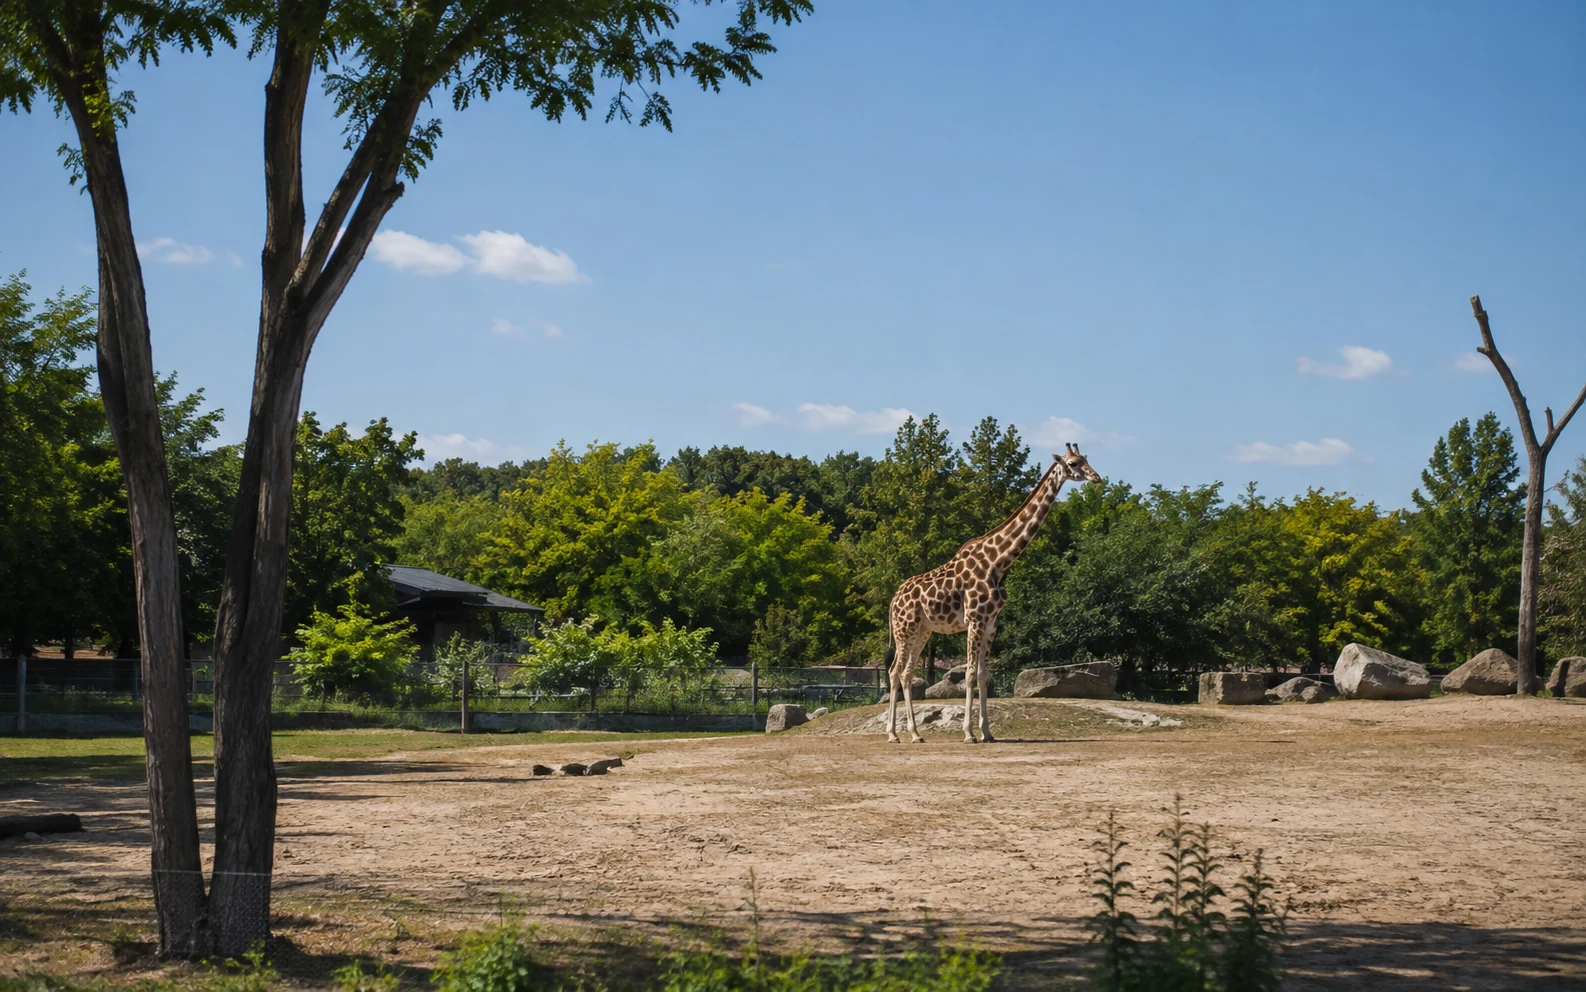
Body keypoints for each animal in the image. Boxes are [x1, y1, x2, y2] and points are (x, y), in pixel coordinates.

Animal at [885, 443, 1103, 744]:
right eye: (1073, 463)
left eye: (1086, 459)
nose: (1096, 477)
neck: (998, 562)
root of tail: (894, 599)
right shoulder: (975, 620)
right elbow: (970, 675)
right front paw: (968, 733)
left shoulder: (991, 624)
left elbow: (984, 676)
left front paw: (987, 732)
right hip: (904, 629)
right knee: (895, 671)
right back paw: (897, 734)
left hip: (923, 631)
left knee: (904, 673)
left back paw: (911, 733)